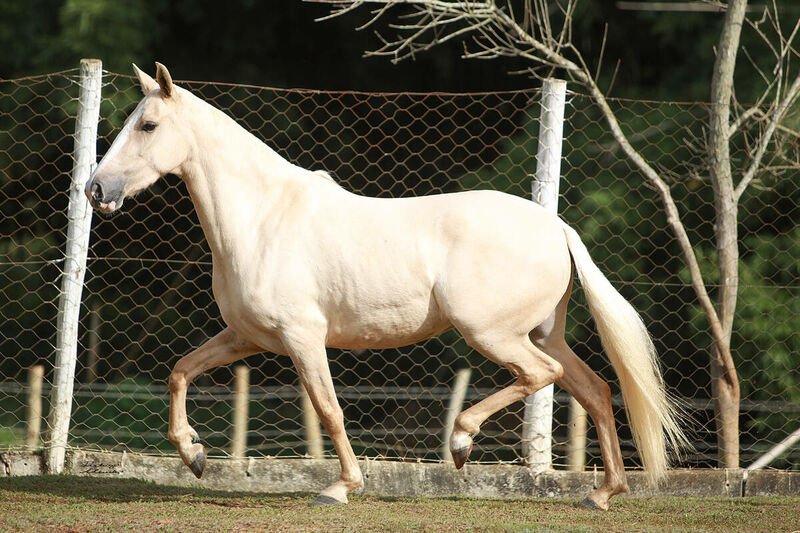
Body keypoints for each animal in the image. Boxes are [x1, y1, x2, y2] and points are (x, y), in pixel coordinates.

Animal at [85, 63, 686, 510]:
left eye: (147, 126)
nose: (96, 190)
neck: (263, 218)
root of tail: (556, 226)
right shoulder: (248, 337)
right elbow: (179, 372)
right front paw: (194, 455)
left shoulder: (303, 338)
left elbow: (329, 409)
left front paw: (340, 487)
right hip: (541, 334)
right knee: (595, 390)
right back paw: (603, 493)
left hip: (494, 335)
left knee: (544, 376)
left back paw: (462, 443)